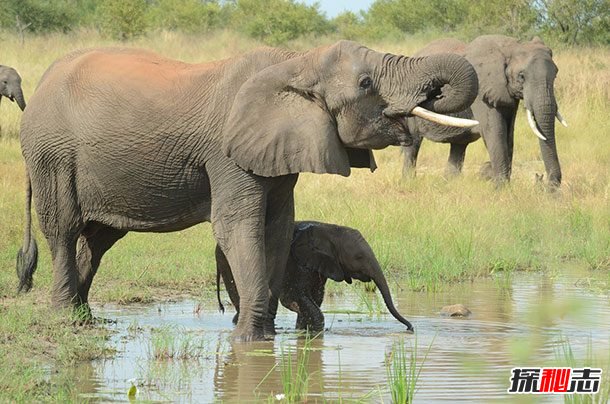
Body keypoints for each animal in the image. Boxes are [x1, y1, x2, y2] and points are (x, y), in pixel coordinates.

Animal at [215, 221, 414, 332]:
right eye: (358, 257)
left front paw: (302, 330)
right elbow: (295, 296)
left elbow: (315, 298)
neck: (329, 229)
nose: (410, 328)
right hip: (228, 263)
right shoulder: (297, 262)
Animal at [402, 35, 564, 187]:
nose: (547, 186)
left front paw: (494, 178)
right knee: (413, 143)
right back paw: (409, 181)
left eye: (556, 74)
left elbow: (509, 133)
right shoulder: (480, 89)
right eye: (521, 76)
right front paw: (500, 187)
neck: (511, 47)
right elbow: (495, 131)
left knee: (458, 145)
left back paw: (449, 183)